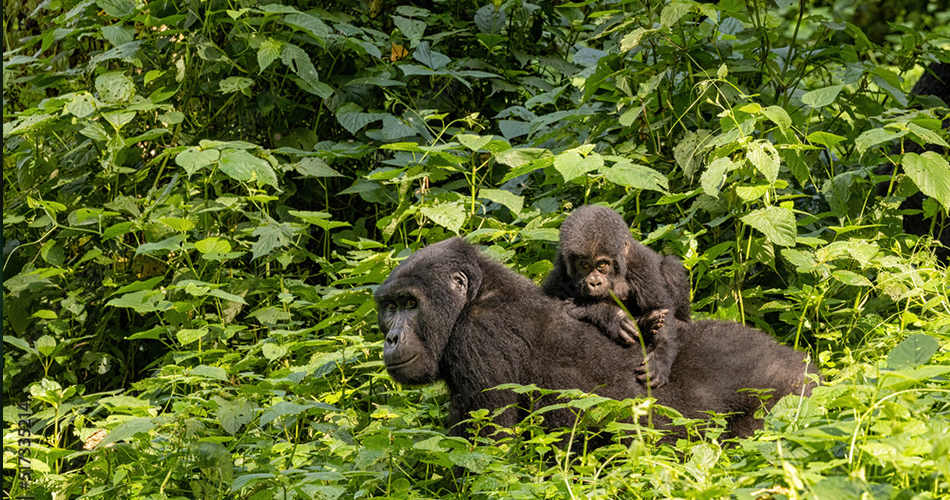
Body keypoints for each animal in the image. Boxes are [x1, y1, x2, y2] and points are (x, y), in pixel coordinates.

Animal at [376, 237, 820, 438]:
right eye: (389, 306)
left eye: (410, 304)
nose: (391, 338)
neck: (475, 296)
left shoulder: (479, 338)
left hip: (786, 395)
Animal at [544, 205, 692, 388]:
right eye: (584, 265)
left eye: (602, 264)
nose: (594, 282)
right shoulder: (560, 271)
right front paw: (612, 316)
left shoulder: (640, 262)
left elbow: (659, 306)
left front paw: (660, 357)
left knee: (670, 267)